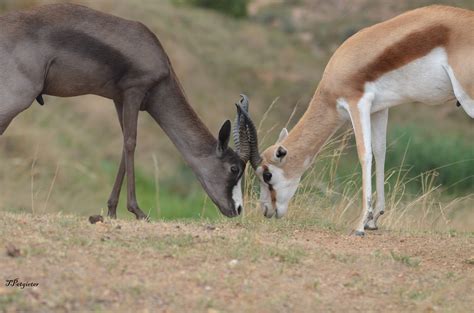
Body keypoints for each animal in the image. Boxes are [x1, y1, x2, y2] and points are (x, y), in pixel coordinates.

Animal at [0, 4, 256, 218]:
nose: (237, 209)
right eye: (234, 168)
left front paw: (112, 211)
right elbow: (132, 143)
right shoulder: (135, 91)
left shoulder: (119, 99)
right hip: (18, 97)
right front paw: (137, 211)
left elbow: (124, 145)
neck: (160, 63)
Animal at [241, 4, 474, 235]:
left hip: (468, 98)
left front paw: (360, 225)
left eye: (267, 175)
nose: (266, 210)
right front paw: (374, 219)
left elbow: (365, 155)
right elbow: (380, 152)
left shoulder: (357, 103)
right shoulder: (379, 109)